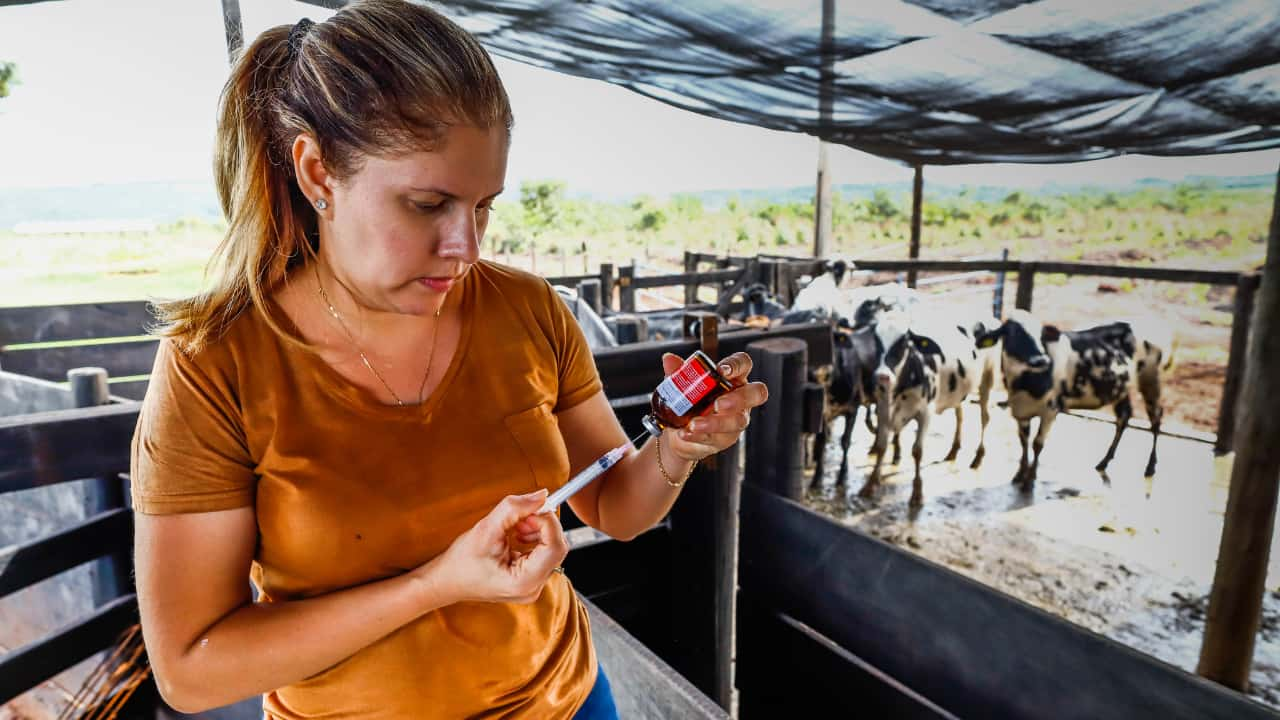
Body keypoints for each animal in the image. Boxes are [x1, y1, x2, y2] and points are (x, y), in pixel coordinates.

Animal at [972, 304, 1172, 484]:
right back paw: (1104, 462)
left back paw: (1150, 467)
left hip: (1150, 379)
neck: (1024, 383)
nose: (1041, 359)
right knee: (1124, 417)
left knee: (1156, 419)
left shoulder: (1050, 410)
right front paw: (1020, 474)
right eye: (1011, 333)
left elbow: (1037, 443)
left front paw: (1030, 478)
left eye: (1041, 336)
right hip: (1122, 388)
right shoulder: (1020, 411)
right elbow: (1023, 441)